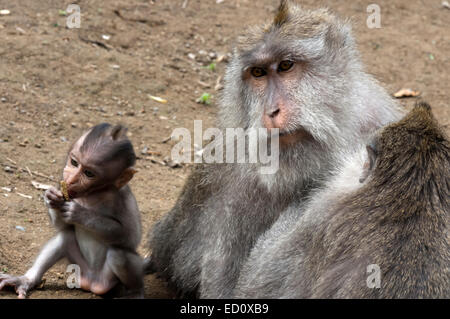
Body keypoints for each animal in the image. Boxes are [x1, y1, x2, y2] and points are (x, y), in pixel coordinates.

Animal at [0, 123, 143, 300]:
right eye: (74, 162)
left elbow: (130, 237)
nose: (71, 179)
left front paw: (79, 213)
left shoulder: (124, 197)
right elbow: (64, 228)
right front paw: (51, 198)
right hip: (80, 269)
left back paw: (136, 292)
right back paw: (26, 280)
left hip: (108, 279)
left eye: (88, 173)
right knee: (65, 237)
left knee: (119, 254)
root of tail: (93, 283)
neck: (93, 194)